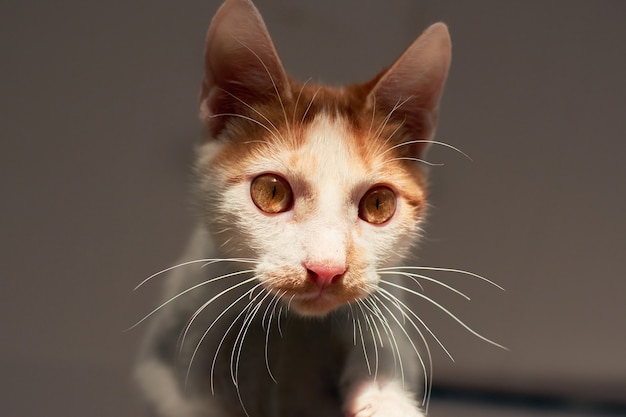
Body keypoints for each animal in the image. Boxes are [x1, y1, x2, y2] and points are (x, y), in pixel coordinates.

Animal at [132, 0, 498, 416]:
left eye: (378, 203)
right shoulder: (174, 358)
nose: (326, 269)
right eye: (271, 192)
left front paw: (382, 398)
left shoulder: (386, 324)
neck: (291, 329)